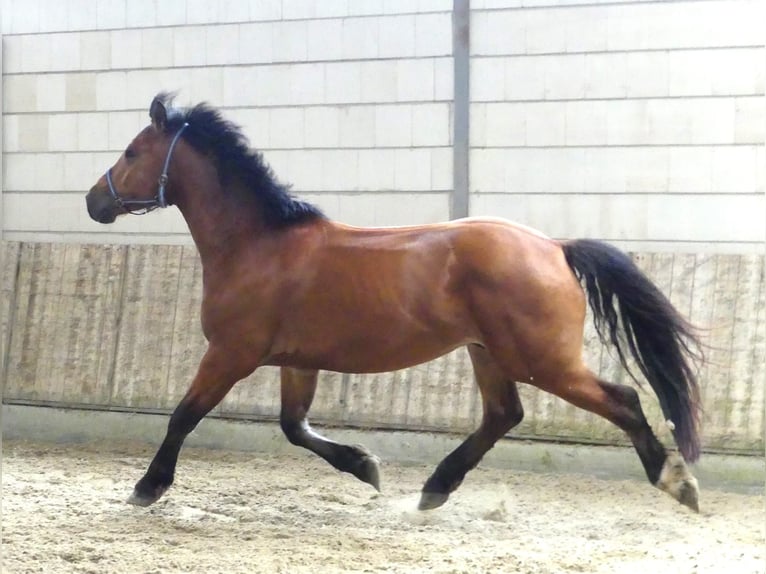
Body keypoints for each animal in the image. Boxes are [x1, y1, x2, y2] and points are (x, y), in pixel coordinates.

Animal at [87, 94, 704, 512]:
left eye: (132, 151)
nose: (94, 201)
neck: (256, 244)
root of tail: (555, 247)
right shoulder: (296, 361)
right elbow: (294, 427)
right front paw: (366, 468)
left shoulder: (231, 353)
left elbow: (185, 414)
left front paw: (147, 487)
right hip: (488, 353)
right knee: (503, 414)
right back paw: (434, 490)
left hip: (541, 361)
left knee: (623, 400)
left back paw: (677, 482)